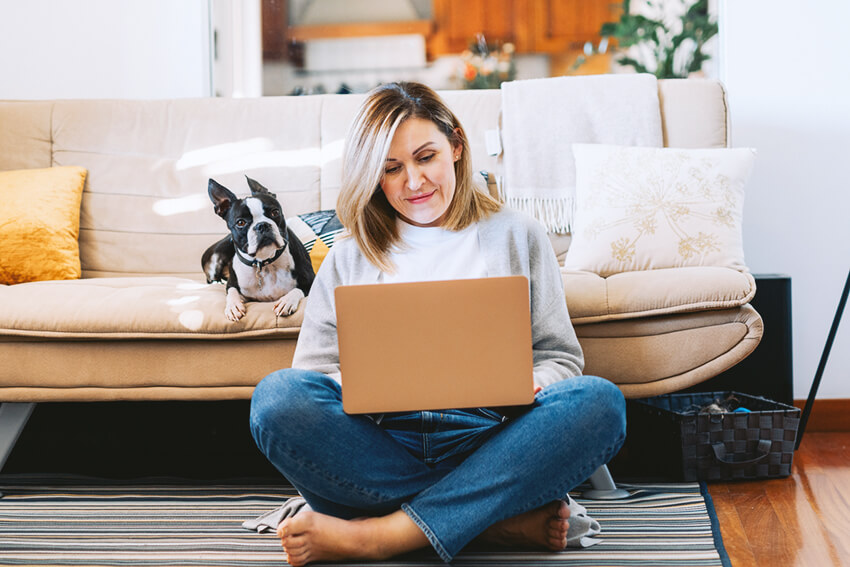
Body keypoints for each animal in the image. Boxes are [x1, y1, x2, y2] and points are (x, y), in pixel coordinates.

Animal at [204, 178, 314, 322]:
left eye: (275, 212)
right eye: (240, 223)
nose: (262, 225)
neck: (264, 262)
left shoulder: (311, 280)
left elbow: (297, 290)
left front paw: (287, 301)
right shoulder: (233, 285)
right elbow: (231, 292)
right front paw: (233, 306)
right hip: (217, 257)